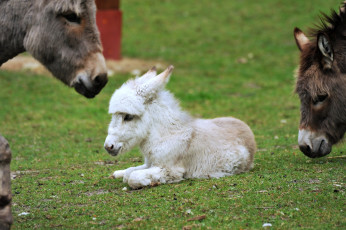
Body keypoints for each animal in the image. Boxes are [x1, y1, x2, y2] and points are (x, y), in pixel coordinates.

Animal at [104, 65, 255, 188]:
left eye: (128, 117)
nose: (108, 147)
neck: (166, 136)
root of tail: (246, 129)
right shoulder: (149, 163)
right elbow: (129, 171)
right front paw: (121, 173)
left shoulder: (169, 169)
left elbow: (131, 177)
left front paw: (150, 182)